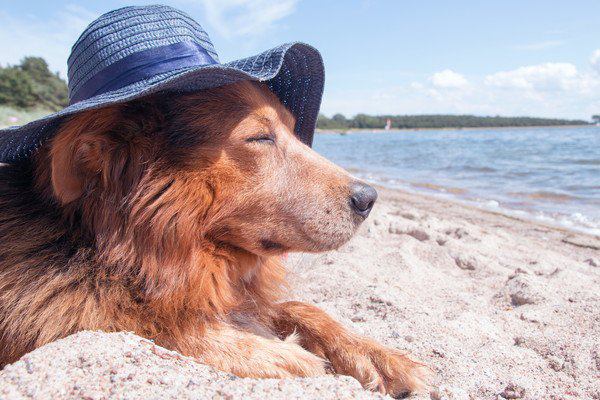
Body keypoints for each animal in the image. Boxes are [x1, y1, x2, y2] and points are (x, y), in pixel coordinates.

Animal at [0, 81, 426, 396]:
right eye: (260, 138)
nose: (369, 198)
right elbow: (149, 324)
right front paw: (282, 354)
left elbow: (298, 306)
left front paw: (376, 355)